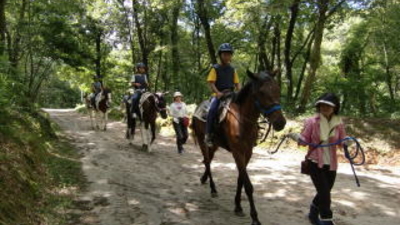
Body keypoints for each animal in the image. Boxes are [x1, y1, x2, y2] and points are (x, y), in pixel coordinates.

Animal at [192, 70, 286, 225]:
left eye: (277, 89)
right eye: (261, 92)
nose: (280, 123)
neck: (242, 120)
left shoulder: (248, 152)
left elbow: (240, 180)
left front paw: (238, 206)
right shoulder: (237, 152)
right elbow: (248, 185)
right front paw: (254, 217)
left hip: (214, 145)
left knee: (208, 161)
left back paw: (204, 179)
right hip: (201, 141)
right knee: (207, 161)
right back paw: (213, 188)